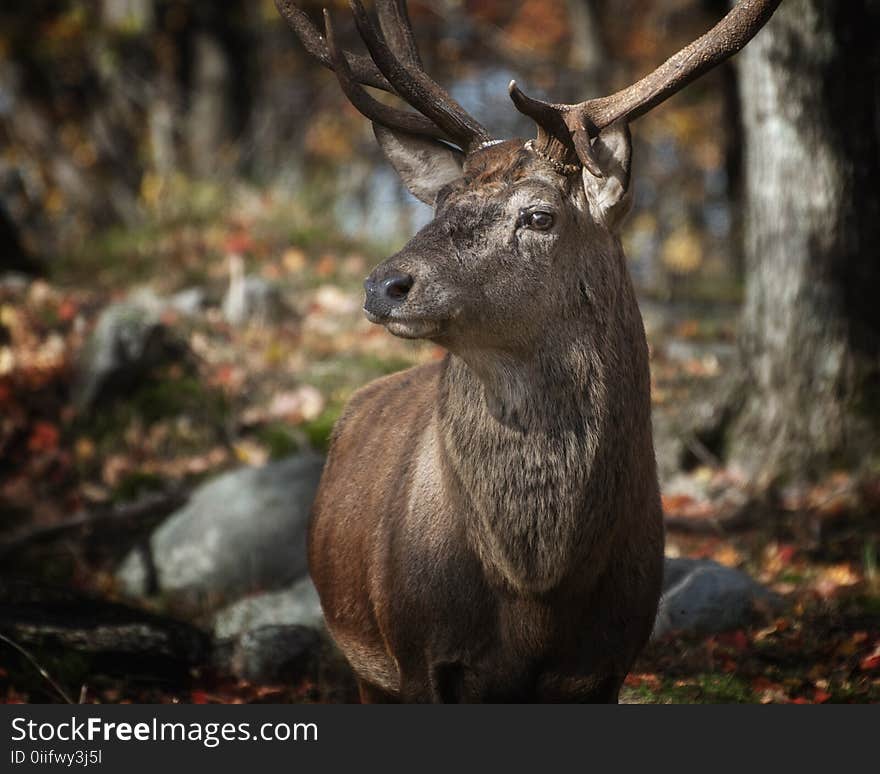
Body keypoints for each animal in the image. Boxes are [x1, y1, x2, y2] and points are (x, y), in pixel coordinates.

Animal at [276, 0, 784, 704]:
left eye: (540, 216)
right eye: (441, 202)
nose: (384, 284)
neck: (535, 596)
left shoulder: (609, 661)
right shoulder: (416, 654)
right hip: (362, 660)